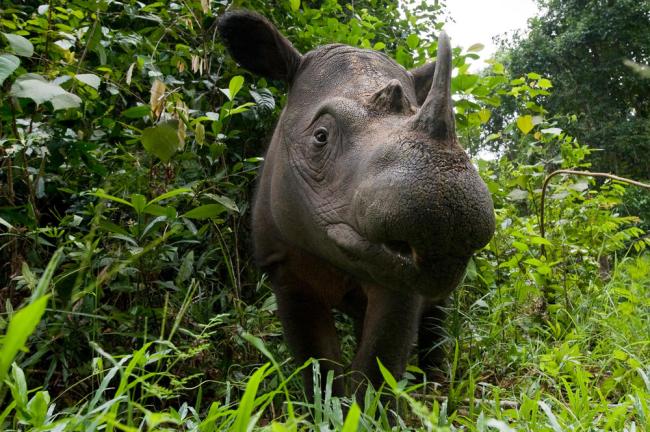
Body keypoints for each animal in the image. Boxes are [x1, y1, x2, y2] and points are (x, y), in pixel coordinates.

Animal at [219, 11, 496, 398]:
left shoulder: (402, 279)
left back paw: (434, 389)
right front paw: (327, 405)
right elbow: (317, 361)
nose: (449, 219)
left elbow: (380, 363)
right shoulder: (282, 266)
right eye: (320, 137)